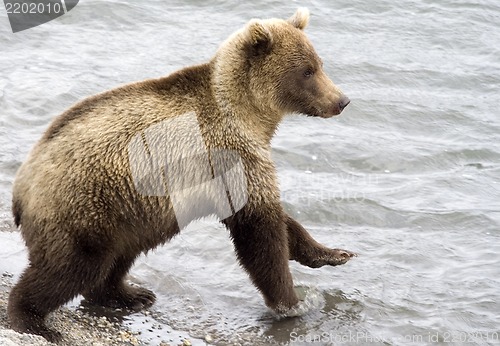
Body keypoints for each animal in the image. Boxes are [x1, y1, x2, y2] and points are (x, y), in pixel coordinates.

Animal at [8, 8, 356, 344]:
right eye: (307, 71)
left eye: (319, 64)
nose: (341, 100)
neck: (250, 116)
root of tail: (21, 184)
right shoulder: (229, 156)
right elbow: (260, 235)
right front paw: (292, 303)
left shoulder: (246, 165)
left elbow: (280, 220)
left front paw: (334, 254)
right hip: (82, 206)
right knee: (71, 268)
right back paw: (32, 319)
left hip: (126, 214)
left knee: (117, 258)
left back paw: (130, 294)